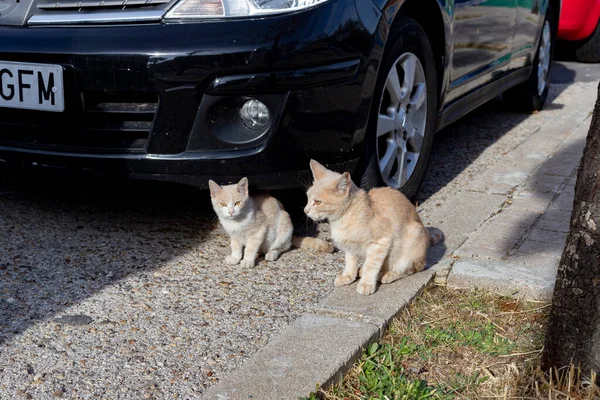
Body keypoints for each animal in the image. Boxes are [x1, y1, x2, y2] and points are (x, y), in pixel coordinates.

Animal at [304, 159, 440, 294]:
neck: (344, 217)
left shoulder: (380, 243)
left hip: (413, 238)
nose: (305, 211)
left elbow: (371, 265)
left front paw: (366, 283)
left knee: (411, 268)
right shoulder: (350, 247)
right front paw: (348, 276)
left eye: (317, 202)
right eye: (307, 198)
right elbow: (350, 261)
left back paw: (387, 274)